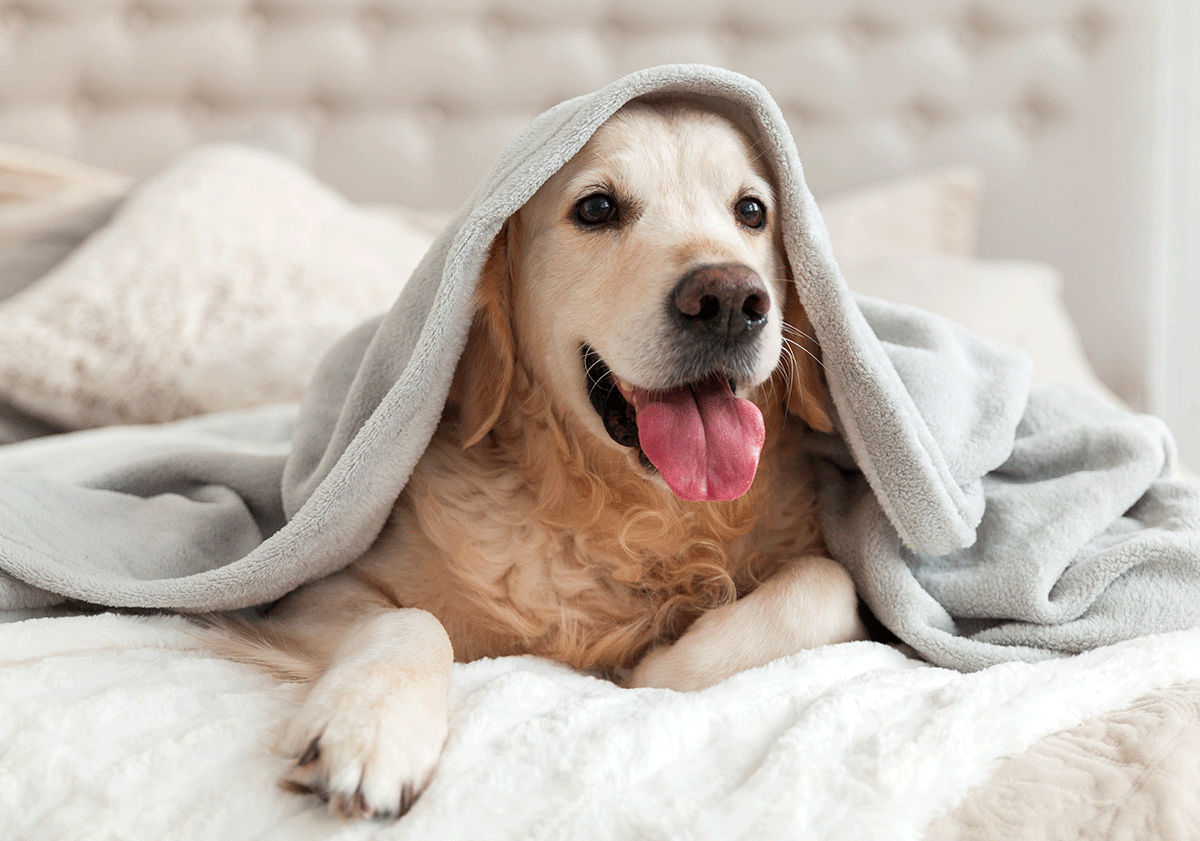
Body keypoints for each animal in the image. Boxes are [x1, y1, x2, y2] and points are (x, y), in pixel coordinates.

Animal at [218, 96, 864, 815]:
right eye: (597, 208)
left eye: (752, 211)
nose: (728, 299)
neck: (626, 513)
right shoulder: (305, 593)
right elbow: (412, 618)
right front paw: (369, 725)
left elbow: (829, 583)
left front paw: (664, 662)